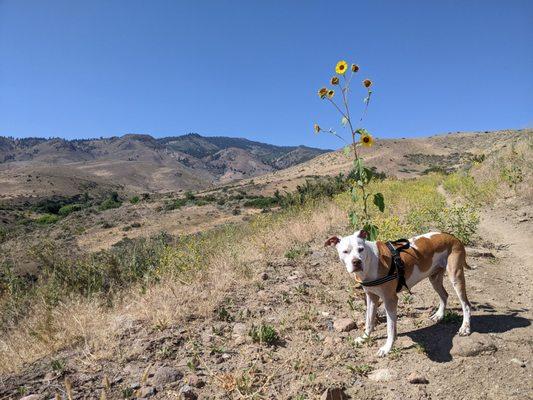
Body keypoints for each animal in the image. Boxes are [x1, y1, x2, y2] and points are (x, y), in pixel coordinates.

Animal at [324, 228, 470, 356]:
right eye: (345, 251)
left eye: (361, 249)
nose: (357, 262)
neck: (371, 262)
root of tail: (453, 237)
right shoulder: (371, 297)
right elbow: (369, 321)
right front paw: (364, 338)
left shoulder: (390, 300)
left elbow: (390, 328)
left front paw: (387, 348)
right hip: (434, 278)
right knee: (444, 295)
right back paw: (439, 315)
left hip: (455, 276)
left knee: (466, 304)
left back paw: (465, 328)